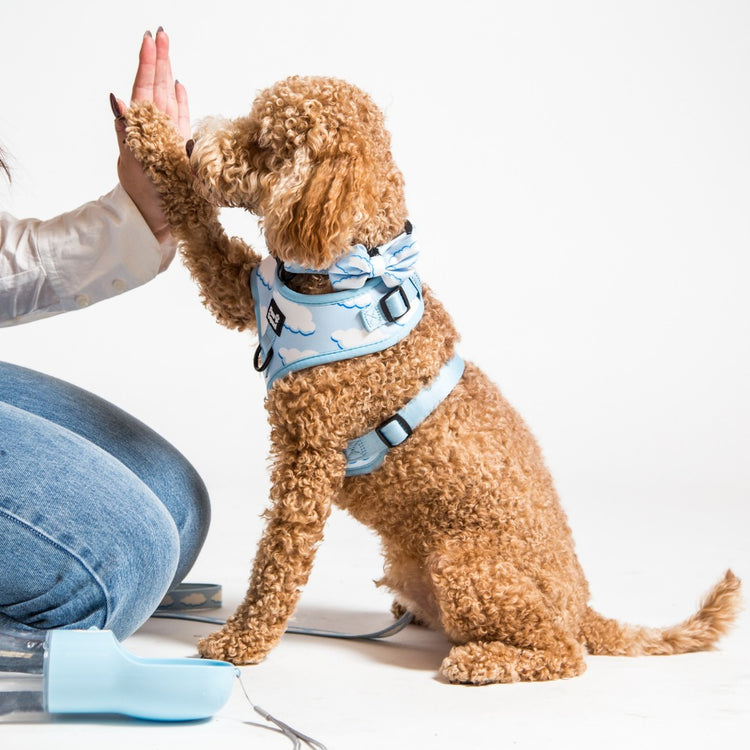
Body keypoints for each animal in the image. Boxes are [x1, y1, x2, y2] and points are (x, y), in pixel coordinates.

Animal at [123, 78, 740, 688]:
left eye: (264, 143)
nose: (193, 145)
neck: (354, 271)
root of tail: (582, 608)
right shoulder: (241, 292)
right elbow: (197, 222)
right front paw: (154, 133)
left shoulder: (311, 460)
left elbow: (278, 563)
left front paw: (242, 643)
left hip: (464, 563)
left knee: (565, 654)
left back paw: (483, 661)